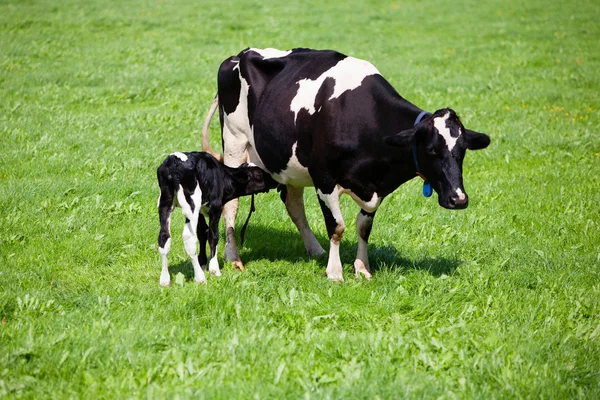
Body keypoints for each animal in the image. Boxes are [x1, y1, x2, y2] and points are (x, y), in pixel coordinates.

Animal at [155, 152, 276, 286]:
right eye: (259, 174)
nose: (275, 181)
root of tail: (173, 160)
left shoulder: (201, 210)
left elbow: (202, 233)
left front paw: (202, 263)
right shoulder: (215, 207)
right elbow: (213, 236)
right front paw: (214, 269)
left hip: (165, 202)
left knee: (164, 237)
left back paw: (164, 279)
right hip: (191, 204)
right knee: (189, 238)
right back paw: (200, 278)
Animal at [203, 47, 492, 282]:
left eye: (462, 152)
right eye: (432, 151)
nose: (458, 199)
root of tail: (238, 55)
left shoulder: (375, 185)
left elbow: (363, 228)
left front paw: (361, 268)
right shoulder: (324, 178)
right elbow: (337, 227)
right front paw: (335, 272)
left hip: (288, 162)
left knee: (293, 204)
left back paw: (314, 249)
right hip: (234, 143)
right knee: (232, 204)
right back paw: (233, 257)